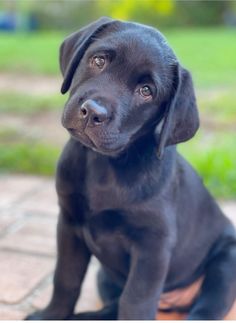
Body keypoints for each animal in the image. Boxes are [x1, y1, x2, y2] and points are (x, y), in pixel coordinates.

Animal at [27, 16, 236, 320]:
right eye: (99, 60)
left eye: (146, 91)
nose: (92, 112)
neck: (105, 164)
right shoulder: (69, 223)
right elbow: (65, 279)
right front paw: (51, 315)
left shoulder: (153, 246)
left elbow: (136, 300)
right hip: (104, 276)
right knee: (111, 304)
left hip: (226, 263)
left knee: (206, 308)